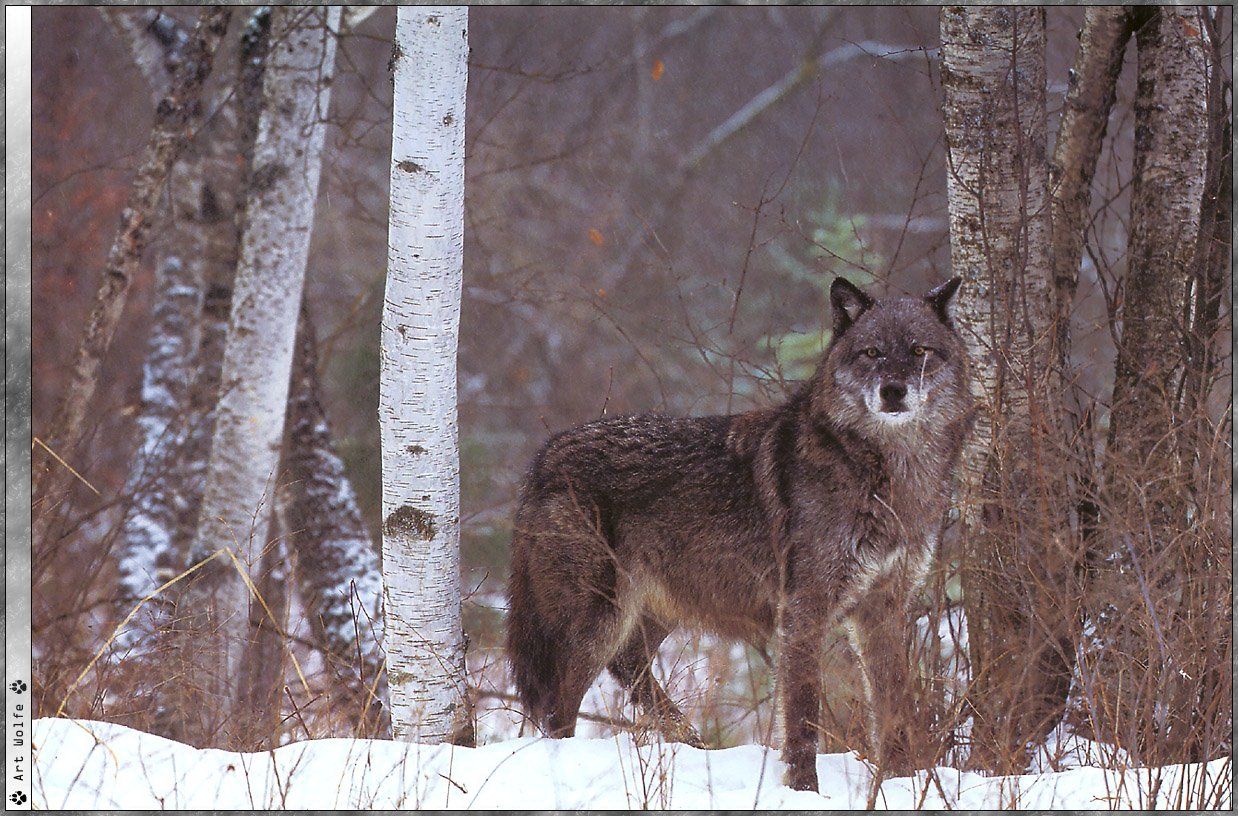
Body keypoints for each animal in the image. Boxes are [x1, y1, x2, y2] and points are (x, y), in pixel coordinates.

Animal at [507, 274, 970, 792]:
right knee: (558, 706)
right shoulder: (803, 610)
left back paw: (690, 741)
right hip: (597, 618)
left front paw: (900, 782)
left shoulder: (883, 611)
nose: (894, 391)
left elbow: (896, 709)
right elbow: (803, 716)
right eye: (872, 353)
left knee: (627, 665)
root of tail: (544, 456)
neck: (887, 475)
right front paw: (804, 790)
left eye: (918, 350)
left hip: (658, 609)